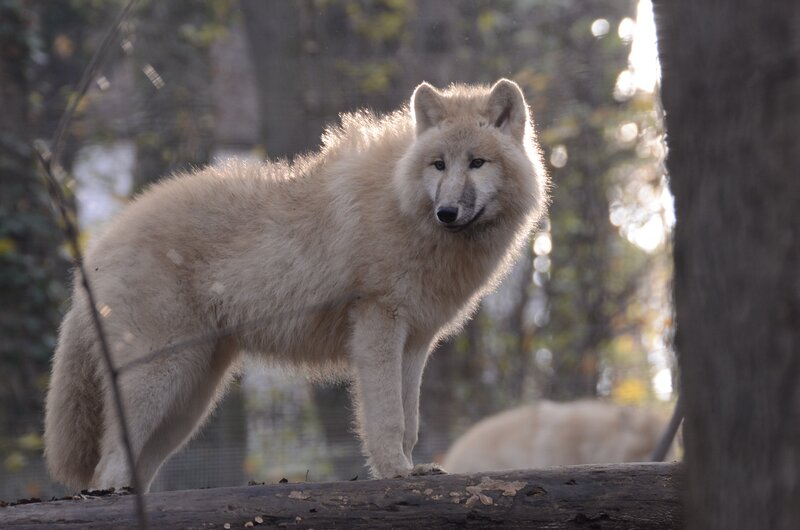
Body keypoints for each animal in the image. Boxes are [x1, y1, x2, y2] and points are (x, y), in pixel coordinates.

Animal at [44, 79, 548, 492]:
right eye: (439, 165)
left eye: (477, 163)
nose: (447, 213)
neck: (404, 206)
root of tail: (98, 247)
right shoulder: (379, 326)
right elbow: (387, 419)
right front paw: (395, 473)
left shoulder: (416, 342)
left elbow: (411, 422)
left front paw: (412, 467)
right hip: (162, 382)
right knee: (106, 467)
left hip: (189, 402)